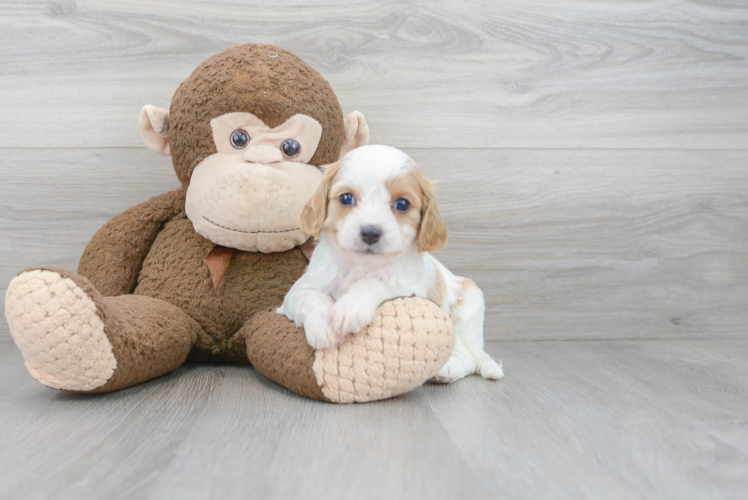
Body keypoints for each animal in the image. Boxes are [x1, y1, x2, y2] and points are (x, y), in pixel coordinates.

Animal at [276, 145, 502, 382]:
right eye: (346, 198)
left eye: (402, 204)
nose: (370, 232)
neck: (361, 265)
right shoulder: (298, 292)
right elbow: (311, 298)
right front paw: (324, 326)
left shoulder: (409, 289)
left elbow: (374, 284)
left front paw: (350, 307)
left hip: (470, 307)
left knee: (469, 357)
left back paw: (446, 369)